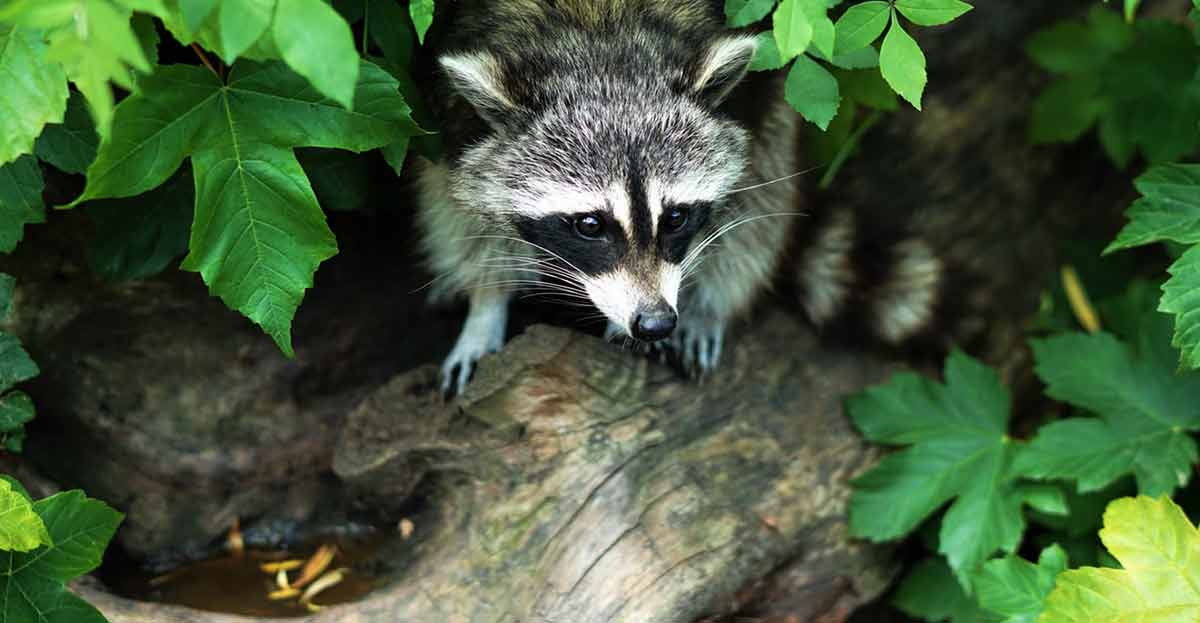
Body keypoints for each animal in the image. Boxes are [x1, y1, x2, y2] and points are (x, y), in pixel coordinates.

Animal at [417, 1, 940, 396]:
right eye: (590, 225)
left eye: (675, 218)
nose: (654, 323)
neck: (599, 45)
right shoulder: (454, 124)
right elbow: (460, 211)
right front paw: (486, 304)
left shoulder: (746, 101)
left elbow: (749, 198)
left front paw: (701, 302)